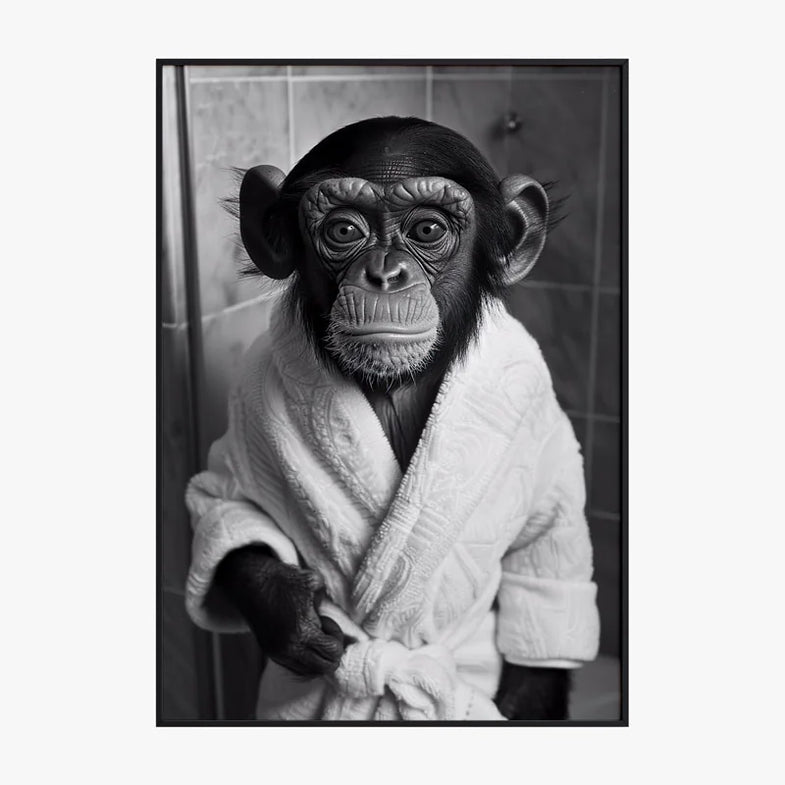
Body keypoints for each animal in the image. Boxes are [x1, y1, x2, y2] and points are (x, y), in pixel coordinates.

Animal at [185, 116, 600, 721]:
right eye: (342, 231)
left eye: (427, 229)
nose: (385, 273)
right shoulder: (250, 392)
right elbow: (225, 505)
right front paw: (286, 610)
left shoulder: (536, 404)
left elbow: (545, 546)